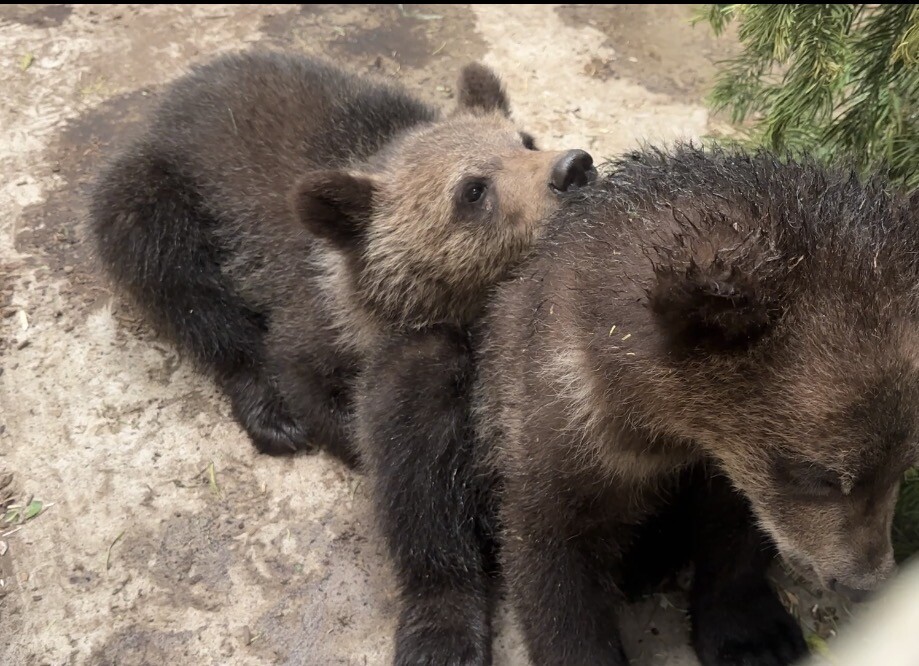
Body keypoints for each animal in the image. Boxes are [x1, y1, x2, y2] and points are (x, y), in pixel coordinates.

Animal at [90, 51, 595, 665]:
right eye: (473, 190)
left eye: (524, 139)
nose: (574, 167)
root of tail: (170, 98)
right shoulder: (316, 317)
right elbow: (344, 406)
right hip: (159, 193)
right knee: (170, 272)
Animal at [472, 144, 916, 665]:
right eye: (819, 476)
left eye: (906, 463)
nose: (865, 582)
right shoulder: (557, 433)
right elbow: (552, 563)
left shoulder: (723, 466)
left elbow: (738, 529)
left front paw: (752, 637)